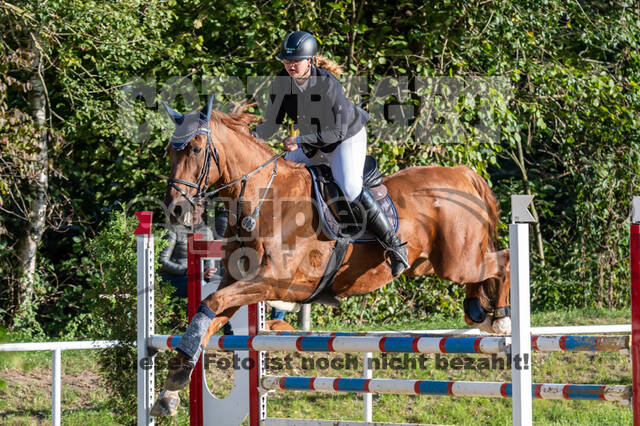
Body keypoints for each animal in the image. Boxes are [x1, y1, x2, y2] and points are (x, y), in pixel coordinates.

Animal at [150, 95, 510, 416]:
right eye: (169, 151)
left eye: (196, 149)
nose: (175, 209)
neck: (264, 199)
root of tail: (463, 174)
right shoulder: (237, 283)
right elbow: (207, 316)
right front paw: (170, 393)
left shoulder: (274, 281)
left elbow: (211, 302)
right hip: (440, 263)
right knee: (484, 272)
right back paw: (478, 310)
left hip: (459, 262)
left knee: (503, 261)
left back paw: (500, 318)